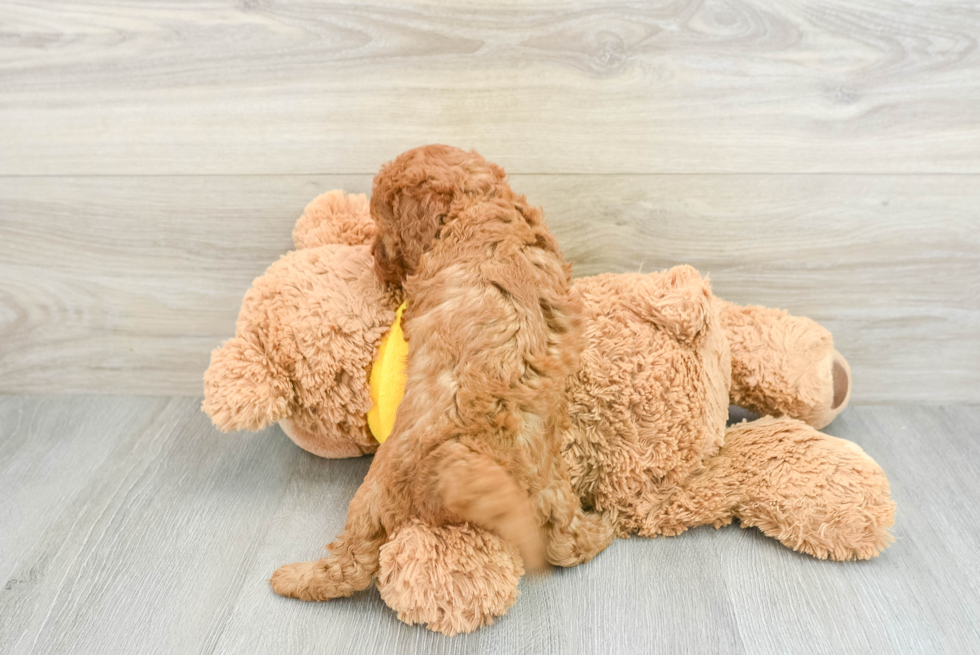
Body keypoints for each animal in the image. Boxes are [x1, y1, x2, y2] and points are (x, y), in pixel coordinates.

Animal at [270, 146, 612, 608]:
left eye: (383, 225)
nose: (374, 258)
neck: (477, 201)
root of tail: (467, 460)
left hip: (375, 492)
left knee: (352, 562)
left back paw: (292, 578)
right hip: (552, 485)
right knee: (566, 543)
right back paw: (600, 530)